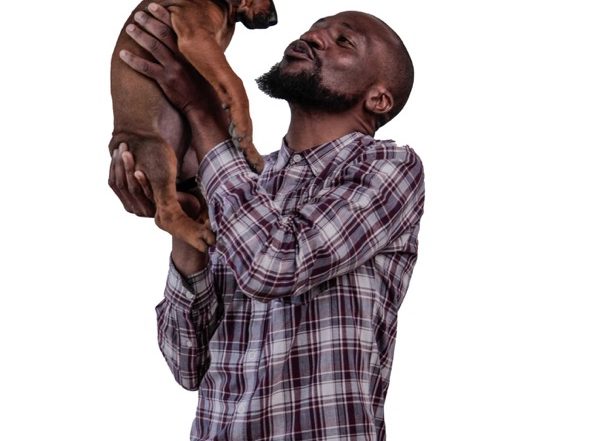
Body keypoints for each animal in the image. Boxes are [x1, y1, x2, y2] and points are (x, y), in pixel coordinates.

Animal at [109, 0, 277, 252]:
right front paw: (244, 131)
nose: (274, 20)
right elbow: (235, 82)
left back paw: (205, 218)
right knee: (165, 215)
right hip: (157, 150)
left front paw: (252, 152)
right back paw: (198, 233)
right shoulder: (197, 37)